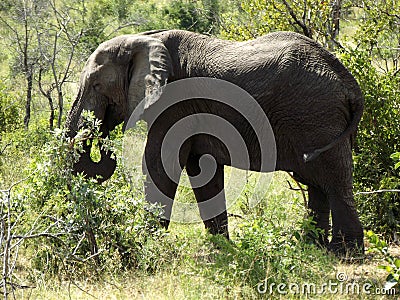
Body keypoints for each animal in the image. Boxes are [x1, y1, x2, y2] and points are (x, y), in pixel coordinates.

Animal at [65, 28, 366, 255]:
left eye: (96, 86)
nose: (101, 135)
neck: (141, 39)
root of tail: (350, 83)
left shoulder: (174, 104)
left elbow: (160, 165)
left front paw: (145, 242)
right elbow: (203, 173)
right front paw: (221, 246)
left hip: (316, 116)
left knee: (334, 181)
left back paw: (344, 253)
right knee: (317, 182)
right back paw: (312, 246)